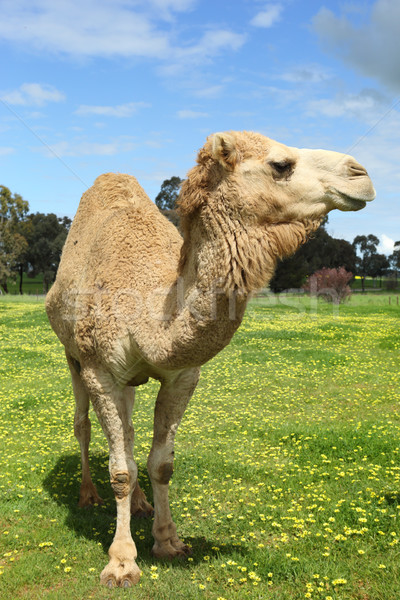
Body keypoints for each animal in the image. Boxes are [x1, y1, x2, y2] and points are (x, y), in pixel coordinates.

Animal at [46, 131, 376, 584]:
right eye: (280, 164)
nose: (361, 175)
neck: (152, 314)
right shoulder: (100, 370)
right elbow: (120, 469)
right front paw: (121, 562)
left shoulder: (183, 375)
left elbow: (160, 464)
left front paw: (168, 541)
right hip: (72, 357)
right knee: (83, 426)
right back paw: (87, 495)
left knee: (127, 432)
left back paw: (142, 505)